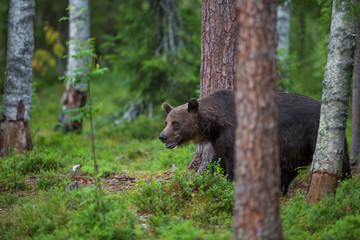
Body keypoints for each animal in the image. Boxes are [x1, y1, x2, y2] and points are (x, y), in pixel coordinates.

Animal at [159, 90, 350, 195]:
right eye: (166, 122)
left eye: (176, 123)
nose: (162, 136)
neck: (215, 124)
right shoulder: (219, 141)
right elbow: (217, 161)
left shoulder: (233, 135)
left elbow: (232, 165)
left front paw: (229, 186)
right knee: (288, 170)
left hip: (315, 132)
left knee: (341, 161)